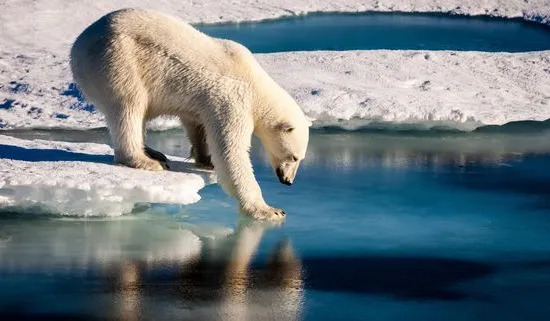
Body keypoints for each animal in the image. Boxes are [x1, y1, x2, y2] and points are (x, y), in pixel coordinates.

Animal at [70, 8, 310, 220]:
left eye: (300, 158)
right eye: (294, 157)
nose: (288, 181)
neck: (256, 85)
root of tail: (78, 45)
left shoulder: (204, 102)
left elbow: (197, 124)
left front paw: (205, 159)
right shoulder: (233, 99)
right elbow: (231, 152)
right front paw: (269, 210)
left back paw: (153, 152)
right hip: (117, 60)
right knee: (129, 106)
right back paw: (146, 161)